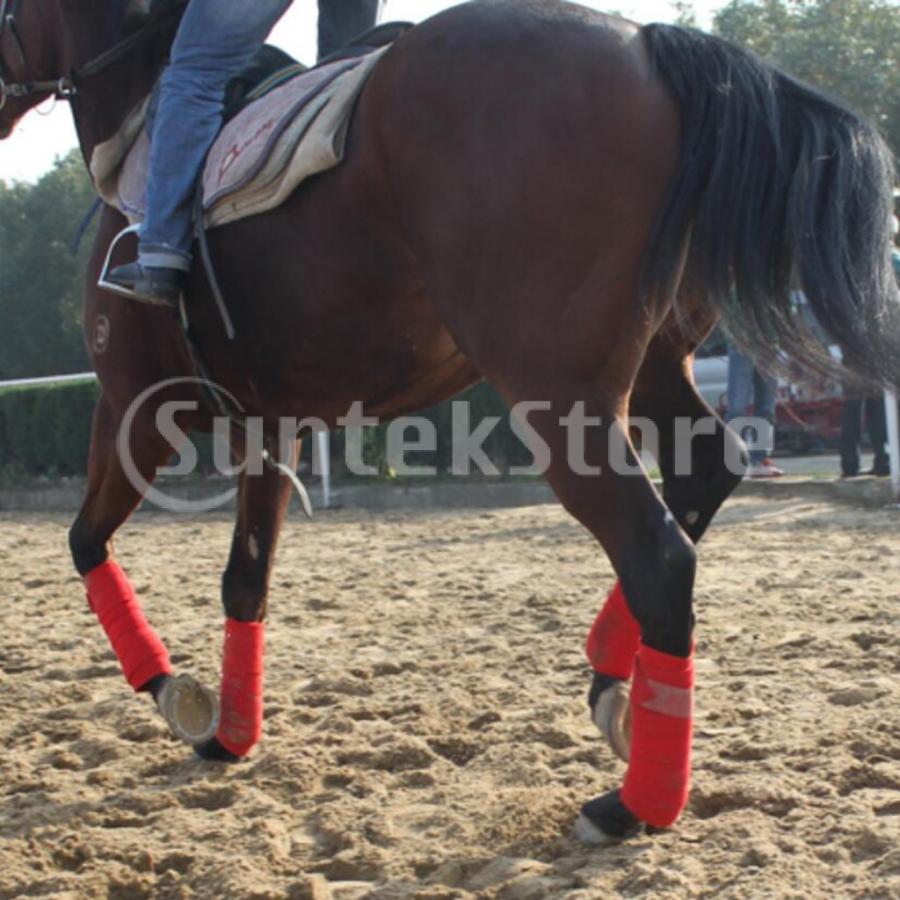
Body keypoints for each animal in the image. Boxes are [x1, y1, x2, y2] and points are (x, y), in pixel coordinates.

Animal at [1, 0, 897, 844]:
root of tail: (643, 41)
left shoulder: (134, 405)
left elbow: (85, 541)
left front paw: (174, 693)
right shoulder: (271, 422)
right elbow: (244, 577)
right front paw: (231, 732)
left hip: (557, 388)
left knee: (658, 552)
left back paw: (633, 803)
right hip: (653, 365)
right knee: (706, 472)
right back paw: (616, 684)